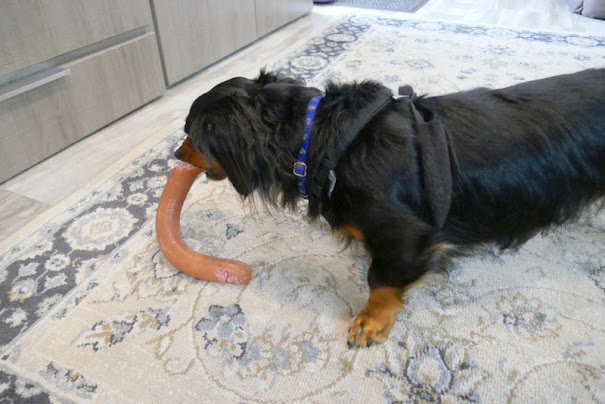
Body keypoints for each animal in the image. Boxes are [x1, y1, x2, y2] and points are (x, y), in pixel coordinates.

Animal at [177, 68, 605, 348]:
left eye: (190, 134)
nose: (175, 155)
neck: (322, 138)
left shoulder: (407, 235)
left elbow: (380, 279)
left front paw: (371, 320)